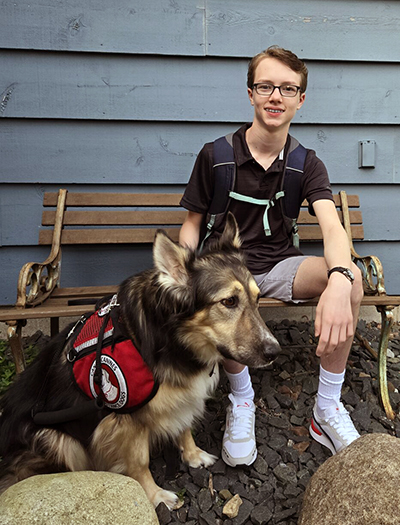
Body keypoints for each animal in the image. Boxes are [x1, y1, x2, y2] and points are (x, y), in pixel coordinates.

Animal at [0, 213, 278, 508]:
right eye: (229, 301)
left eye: (258, 298)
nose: (275, 351)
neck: (171, 340)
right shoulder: (126, 420)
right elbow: (139, 461)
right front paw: (155, 496)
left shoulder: (183, 396)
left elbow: (184, 427)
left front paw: (193, 456)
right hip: (56, 439)